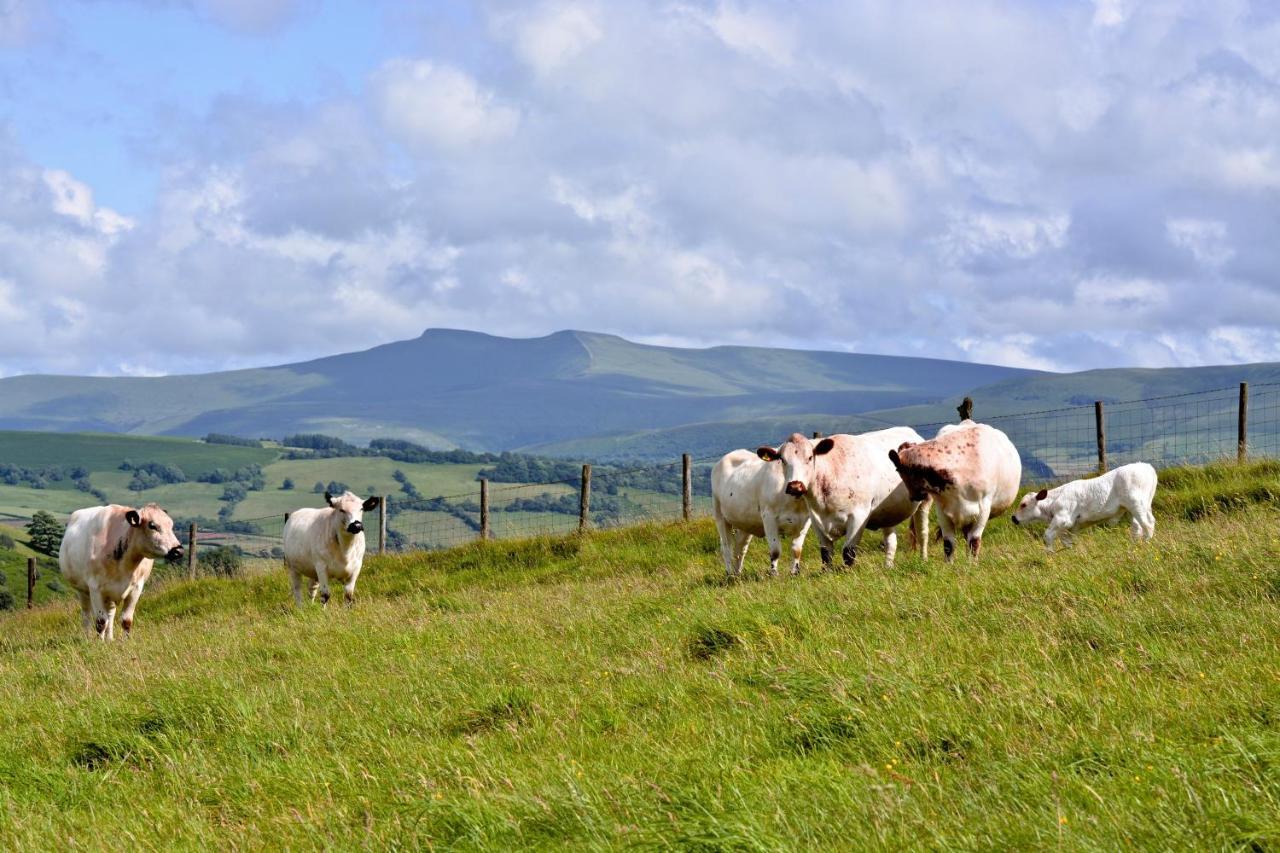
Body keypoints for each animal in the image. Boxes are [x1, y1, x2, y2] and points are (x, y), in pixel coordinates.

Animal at [60, 502, 184, 635]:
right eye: (152, 525)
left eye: (171, 525)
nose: (178, 551)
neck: (125, 567)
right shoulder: (95, 588)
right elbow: (100, 622)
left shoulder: (136, 588)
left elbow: (126, 621)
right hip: (82, 589)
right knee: (86, 615)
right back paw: (87, 637)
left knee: (110, 614)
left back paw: (110, 638)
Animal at [711, 445, 808, 578]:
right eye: (783, 460)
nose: (797, 486)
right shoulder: (769, 517)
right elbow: (775, 550)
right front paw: (774, 574)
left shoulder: (805, 520)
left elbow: (797, 550)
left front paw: (795, 573)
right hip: (720, 515)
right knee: (726, 547)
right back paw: (730, 574)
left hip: (745, 523)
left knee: (740, 548)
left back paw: (737, 574)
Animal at [757, 427, 931, 568]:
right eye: (782, 460)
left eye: (810, 457)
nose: (795, 486)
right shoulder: (815, 519)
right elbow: (826, 554)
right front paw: (826, 573)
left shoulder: (859, 515)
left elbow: (848, 552)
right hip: (888, 513)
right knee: (891, 541)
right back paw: (888, 566)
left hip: (924, 501)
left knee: (922, 533)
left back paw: (923, 559)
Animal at [890, 417, 1018, 558]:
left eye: (897, 470)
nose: (913, 497)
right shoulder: (942, 511)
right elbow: (948, 545)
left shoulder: (983, 509)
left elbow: (974, 542)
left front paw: (972, 563)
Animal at [1008, 458, 1162, 545]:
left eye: (1023, 505)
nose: (1014, 518)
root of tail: (1146, 466)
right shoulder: (1071, 527)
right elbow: (1067, 542)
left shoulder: (1062, 519)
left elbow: (1047, 536)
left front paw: (1049, 555)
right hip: (1134, 508)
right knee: (1137, 527)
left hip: (1136, 504)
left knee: (1148, 524)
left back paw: (1147, 544)